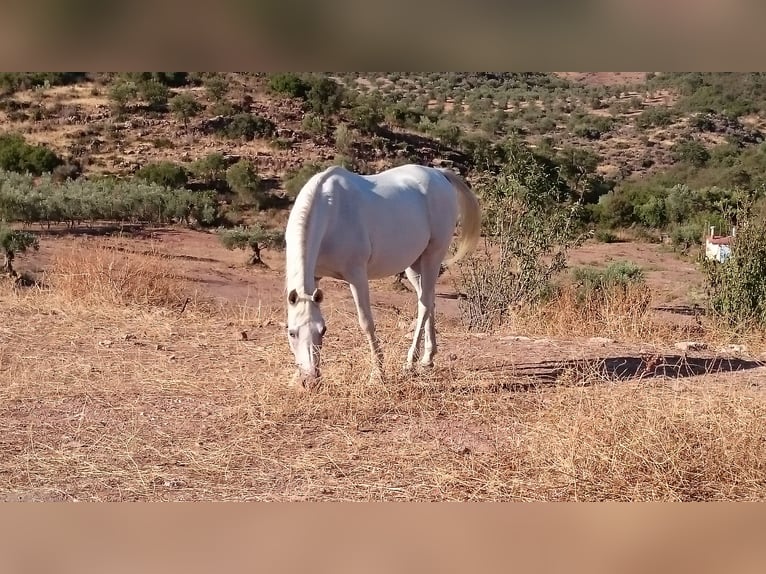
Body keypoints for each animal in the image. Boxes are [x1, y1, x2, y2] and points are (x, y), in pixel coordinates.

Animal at [284, 163, 484, 388]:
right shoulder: (315, 276)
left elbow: (366, 322)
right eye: (291, 332)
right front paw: (294, 378)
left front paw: (377, 373)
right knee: (430, 301)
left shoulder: (357, 276)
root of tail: (439, 174)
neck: (331, 212)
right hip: (414, 265)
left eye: (323, 330)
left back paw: (410, 362)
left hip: (433, 256)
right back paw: (427, 359)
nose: (310, 380)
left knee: (424, 305)